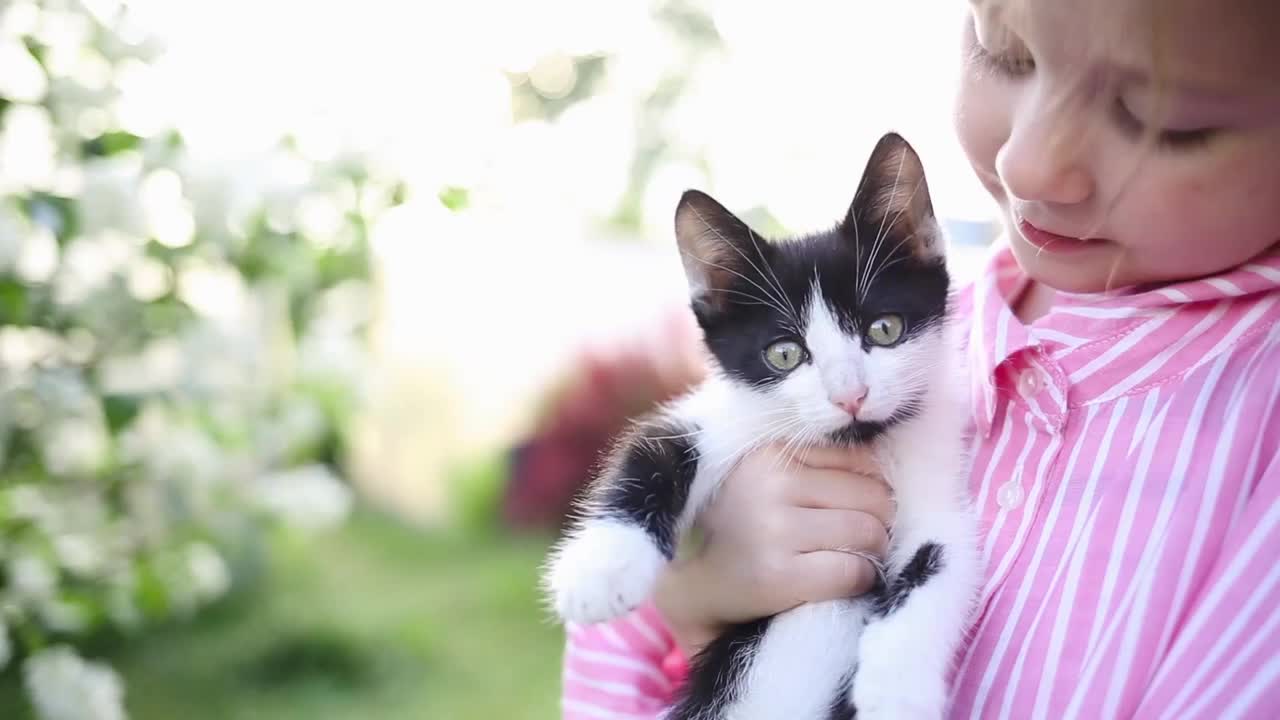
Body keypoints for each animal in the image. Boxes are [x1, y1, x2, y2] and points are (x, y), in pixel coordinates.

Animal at [542, 131, 977, 712]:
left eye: (884, 329)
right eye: (785, 354)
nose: (851, 395)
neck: (858, 443)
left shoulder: (934, 492)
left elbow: (940, 556)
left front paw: (896, 692)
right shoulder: (725, 414)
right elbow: (658, 446)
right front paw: (601, 570)